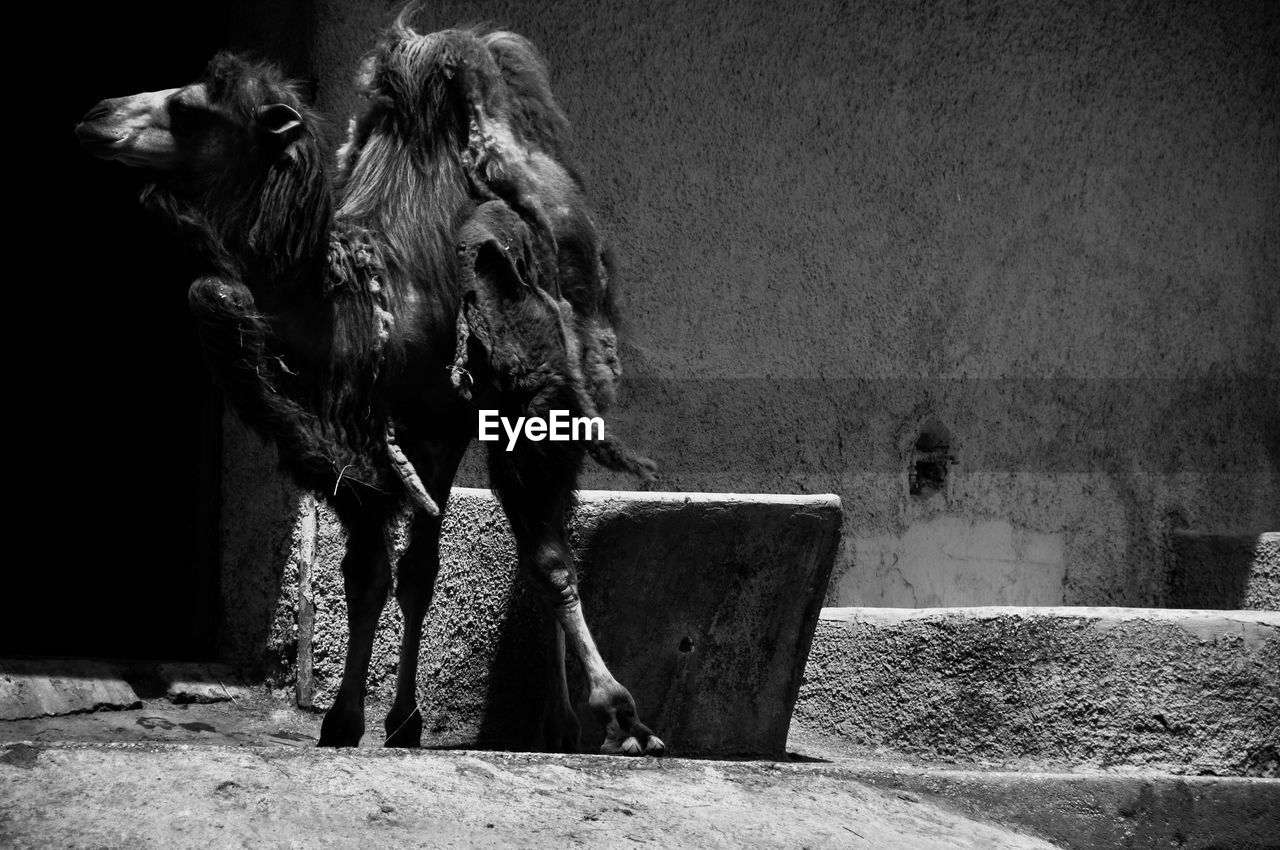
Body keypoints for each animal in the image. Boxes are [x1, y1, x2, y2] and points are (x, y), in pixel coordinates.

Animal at [72, 19, 660, 752]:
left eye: (189, 108)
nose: (95, 115)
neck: (357, 303)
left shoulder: (447, 424)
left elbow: (519, 561)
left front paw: (621, 712)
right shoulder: (364, 436)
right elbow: (371, 576)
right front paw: (351, 718)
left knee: (542, 532)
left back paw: (569, 718)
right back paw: (509, 719)